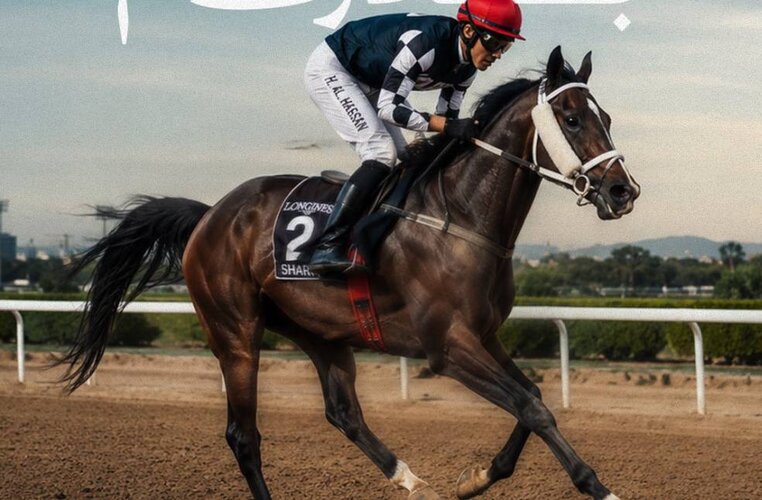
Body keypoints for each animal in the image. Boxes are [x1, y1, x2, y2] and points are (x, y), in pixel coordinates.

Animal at [59, 46, 639, 499]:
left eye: (607, 117)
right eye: (571, 118)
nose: (623, 191)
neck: (460, 217)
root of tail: (209, 215)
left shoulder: (484, 335)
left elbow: (532, 397)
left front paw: (475, 478)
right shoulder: (447, 346)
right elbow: (533, 408)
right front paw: (598, 487)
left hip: (320, 331)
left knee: (343, 413)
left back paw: (411, 480)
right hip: (235, 331)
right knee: (243, 436)